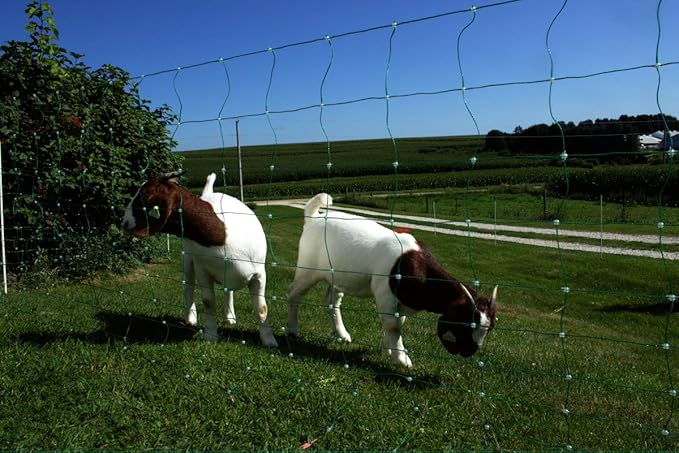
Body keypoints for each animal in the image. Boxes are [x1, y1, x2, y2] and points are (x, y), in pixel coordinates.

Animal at [121, 170, 278, 347]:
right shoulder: (203, 270)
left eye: (145, 196)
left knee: (228, 291)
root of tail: (209, 194)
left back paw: (230, 317)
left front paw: (269, 341)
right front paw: (210, 336)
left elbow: (262, 308)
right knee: (188, 285)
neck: (221, 234)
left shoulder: (259, 274)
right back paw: (190, 317)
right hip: (188, 259)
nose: (124, 222)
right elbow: (208, 301)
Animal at [287, 193, 497, 367]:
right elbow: (393, 326)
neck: (415, 263)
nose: (469, 352)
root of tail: (313, 217)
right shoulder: (385, 294)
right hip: (308, 269)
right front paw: (401, 359)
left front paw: (387, 349)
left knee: (332, 301)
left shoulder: (400, 301)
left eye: (490, 328)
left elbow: (397, 323)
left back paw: (342, 334)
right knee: (294, 294)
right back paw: (292, 330)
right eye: (467, 324)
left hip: (338, 276)